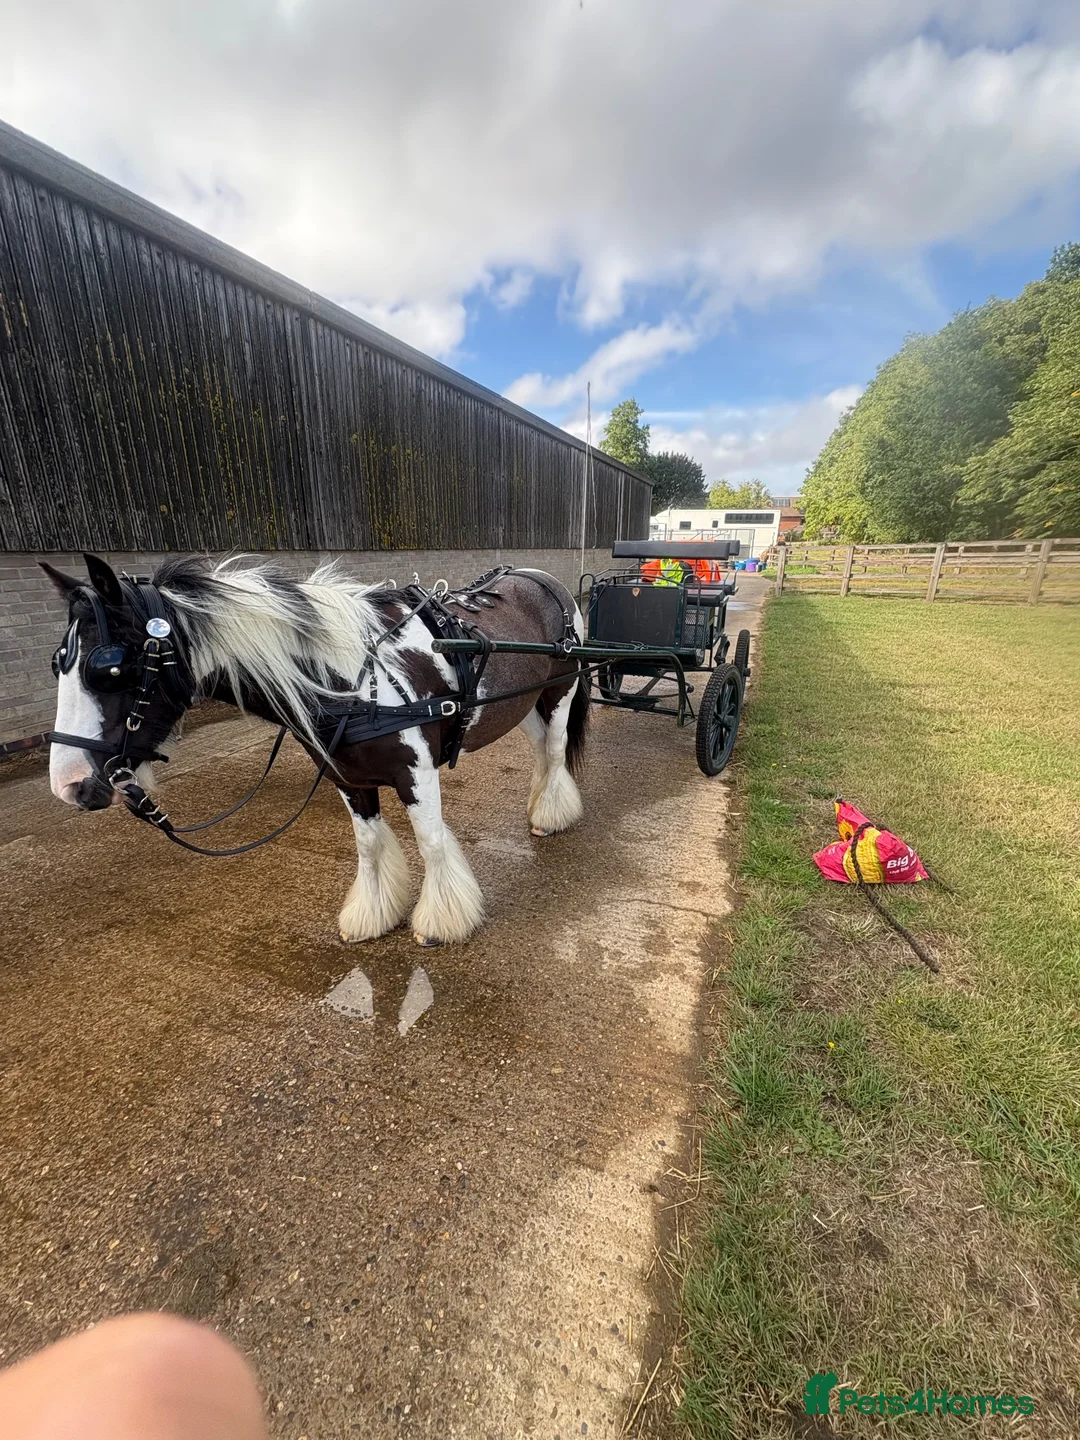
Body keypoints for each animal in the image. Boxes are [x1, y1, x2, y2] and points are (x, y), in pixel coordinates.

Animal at [41, 553, 589, 946]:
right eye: (58, 663)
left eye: (110, 667)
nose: (70, 786)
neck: (353, 679)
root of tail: (542, 579)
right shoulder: (347, 777)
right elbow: (367, 845)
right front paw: (372, 914)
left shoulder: (416, 772)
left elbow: (432, 842)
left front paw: (441, 921)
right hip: (524, 704)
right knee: (541, 751)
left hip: (559, 692)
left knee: (555, 748)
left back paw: (551, 814)